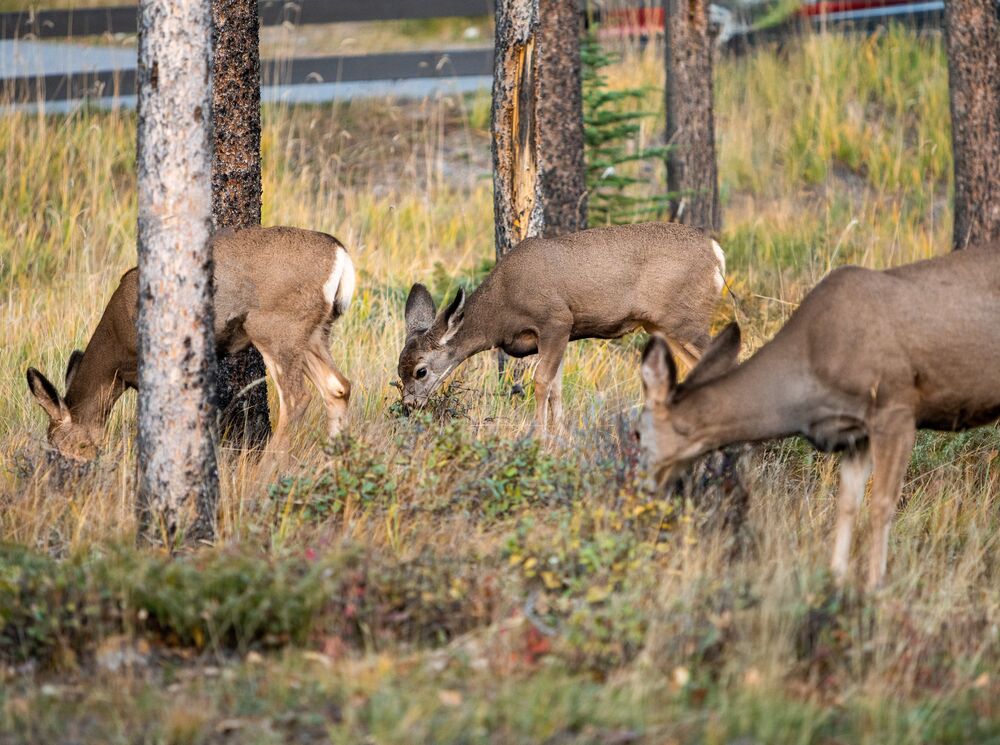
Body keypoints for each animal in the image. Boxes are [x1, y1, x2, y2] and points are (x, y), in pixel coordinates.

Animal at [25, 226, 356, 462]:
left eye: (59, 444)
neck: (116, 351)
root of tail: (340, 255)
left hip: (276, 328)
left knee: (297, 398)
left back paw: (265, 473)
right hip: (314, 333)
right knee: (338, 386)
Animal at [398, 222, 727, 430]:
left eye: (420, 371)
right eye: (399, 371)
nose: (409, 406)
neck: (502, 310)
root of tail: (716, 253)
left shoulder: (556, 320)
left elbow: (541, 382)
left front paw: (539, 437)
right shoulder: (556, 337)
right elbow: (556, 387)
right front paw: (560, 437)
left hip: (687, 319)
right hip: (662, 326)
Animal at [636, 243, 1000, 589]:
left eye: (637, 433)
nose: (637, 487)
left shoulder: (896, 409)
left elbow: (882, 504)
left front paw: (874, 587)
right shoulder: (855, 432)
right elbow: (848, 503)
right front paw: (835, 579)